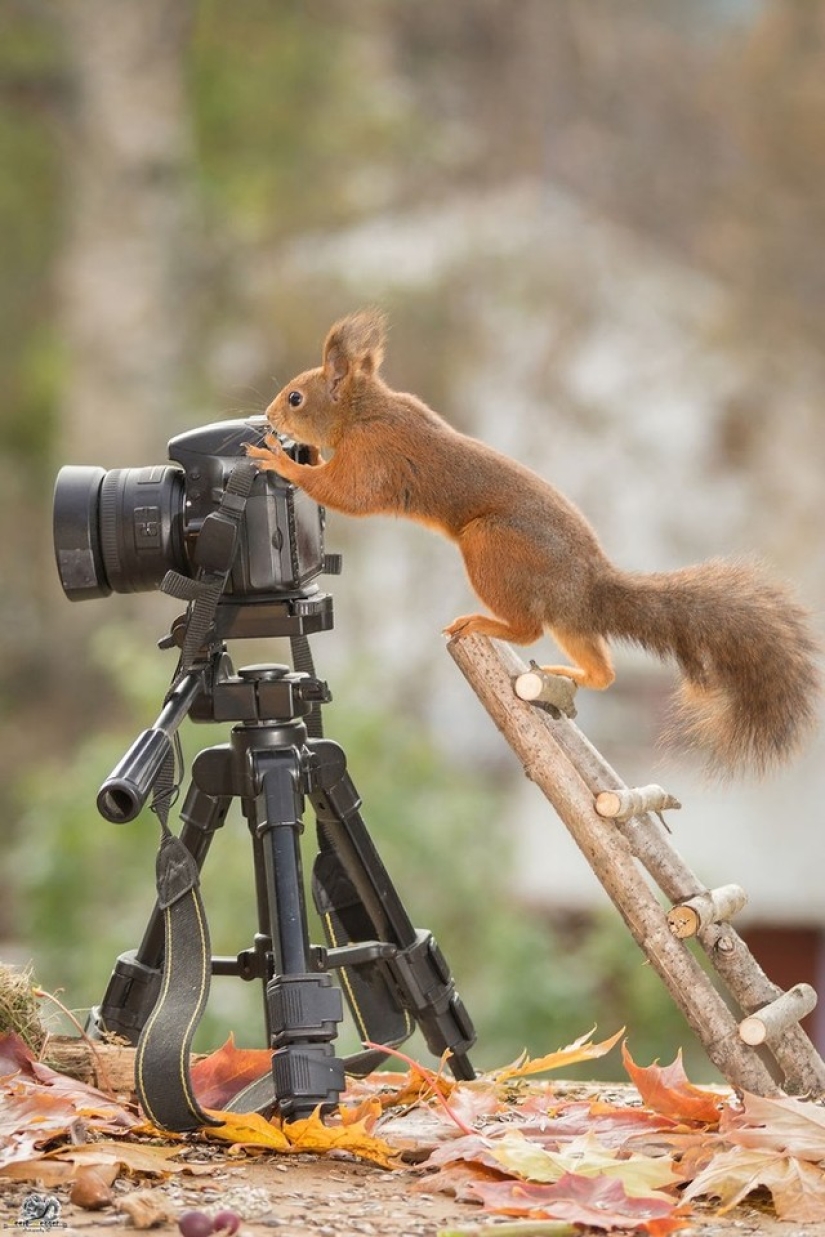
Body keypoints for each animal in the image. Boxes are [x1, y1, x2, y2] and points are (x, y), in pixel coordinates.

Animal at [247, 309, 821, 776]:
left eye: (295, 397)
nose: (269, 418)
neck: (363, 409)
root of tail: (588, 585)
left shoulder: (375, 457)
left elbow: (345, 493)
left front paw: (281, 461)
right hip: (572, 621)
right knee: (603, 670)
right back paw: (573, 671)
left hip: (490, 549)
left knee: (527, 629)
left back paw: (482, 623)